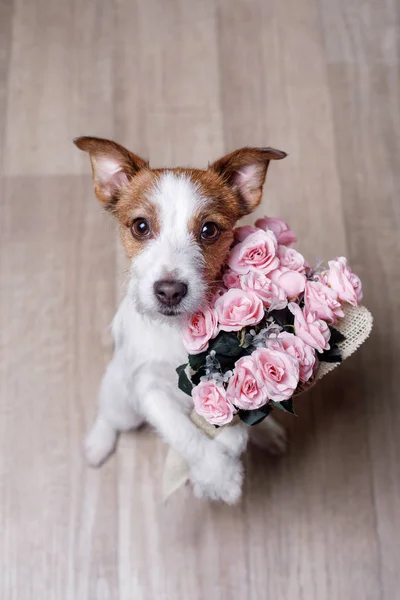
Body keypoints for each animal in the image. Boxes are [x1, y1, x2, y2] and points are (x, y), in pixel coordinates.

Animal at [75, 138, 288, 504]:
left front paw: (227, 455)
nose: (170, 291)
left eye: (209, 230)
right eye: (141, 226)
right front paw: (218, 476)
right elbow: (184, 434)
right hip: (122, 396)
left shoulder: (237, 369)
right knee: (110, 414)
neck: (180, 331)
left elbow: (235, 424)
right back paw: (98, 444)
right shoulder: (148, 388)